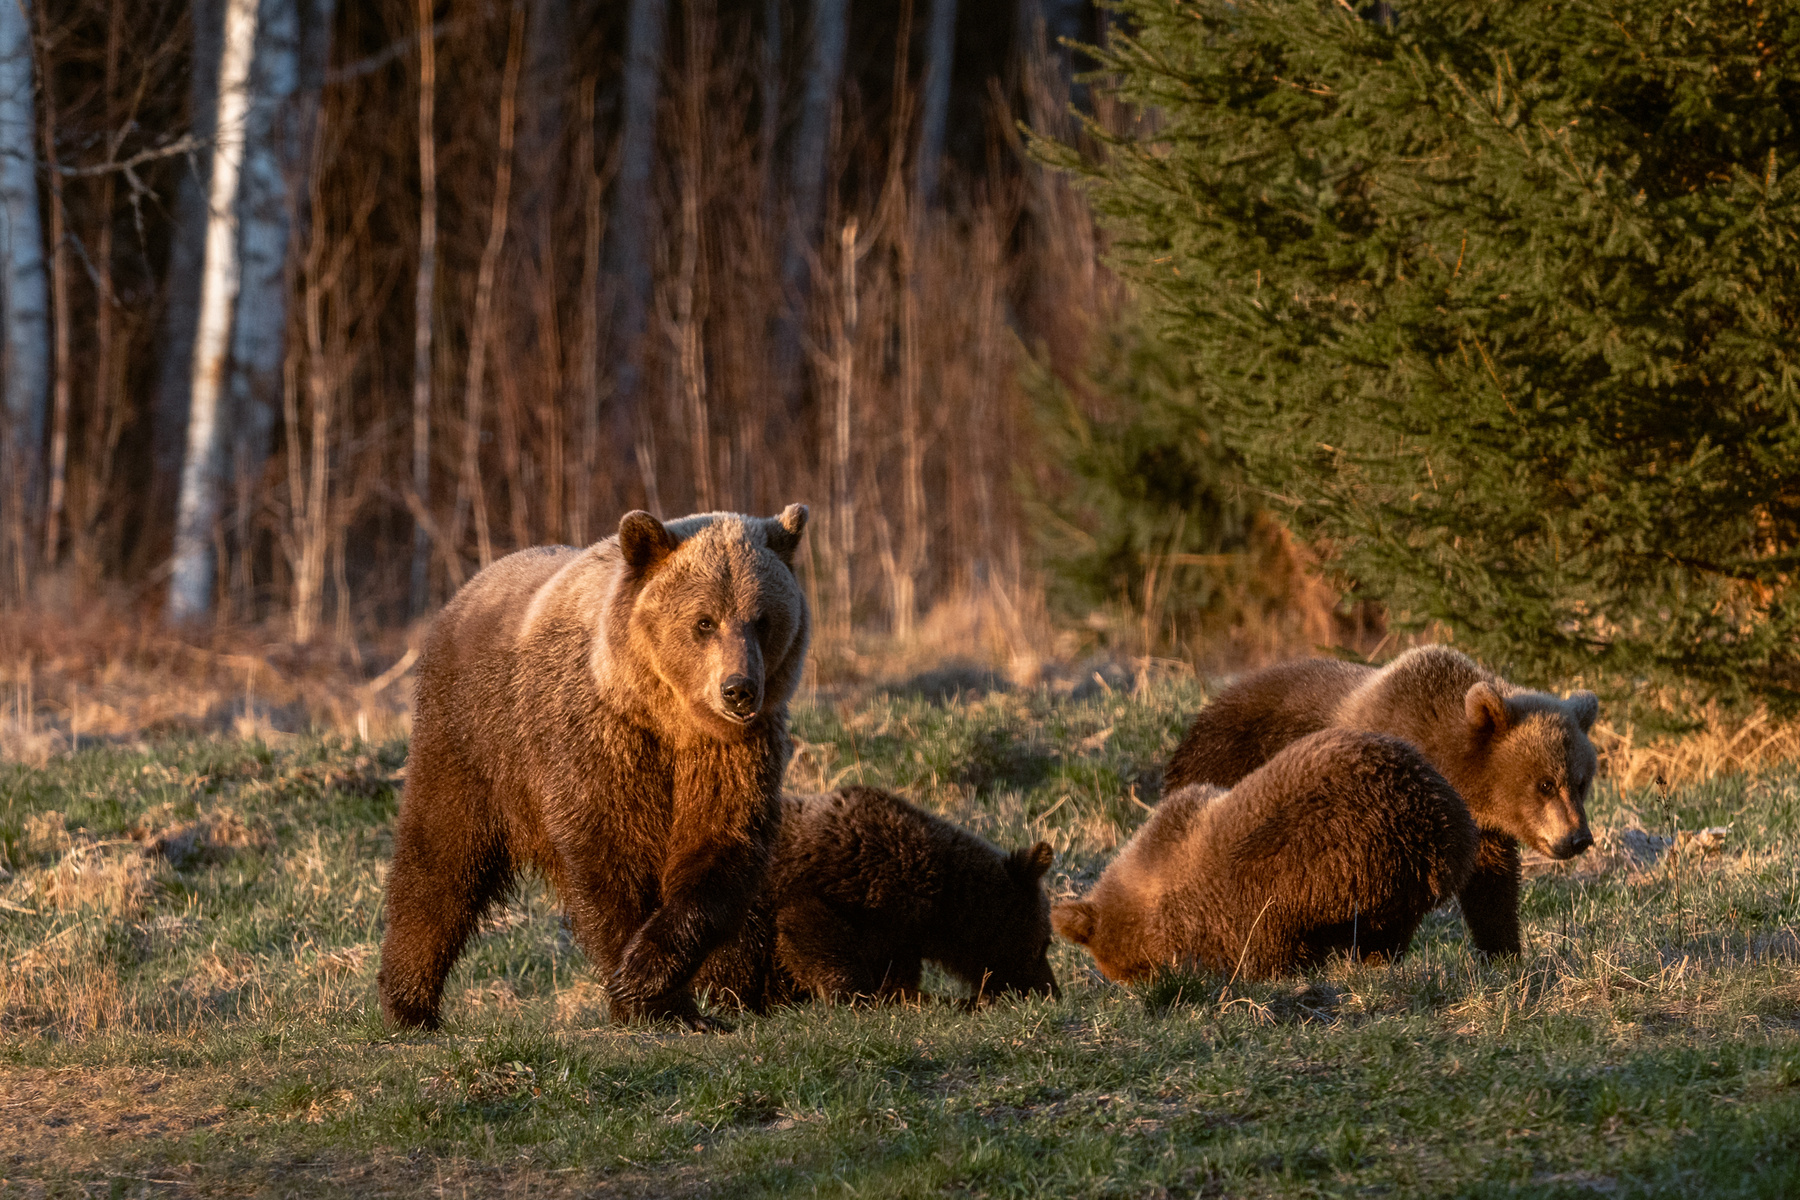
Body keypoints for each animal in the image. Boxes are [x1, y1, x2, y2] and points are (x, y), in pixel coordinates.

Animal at [376, 505, 810, 1030]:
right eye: (704, 621)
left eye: (762, 619)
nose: (739, 689)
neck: (666, 716)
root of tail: (466, 589)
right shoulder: (597, 737)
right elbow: (611, 854)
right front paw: (650, 997)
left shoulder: (730, 755)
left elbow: (720, 844)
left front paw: (657, 976)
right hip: (473, 737)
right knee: (440, 861)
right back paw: (409, 1002)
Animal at [690, 786, 1060, 1009]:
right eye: (1043, 944)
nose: (1050, 991)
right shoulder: (837, 886)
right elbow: (810, 934)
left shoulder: (896, 937)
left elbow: (895, 977)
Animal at [1161, 645, 1600, 956]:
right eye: (1545, 784)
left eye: (1580, 782)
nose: (1578, 838)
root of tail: (1205, 711)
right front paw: (1375, 950)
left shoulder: (1483, 830)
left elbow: (1493, 888)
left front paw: (1505, 952)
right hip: (1228, 766)